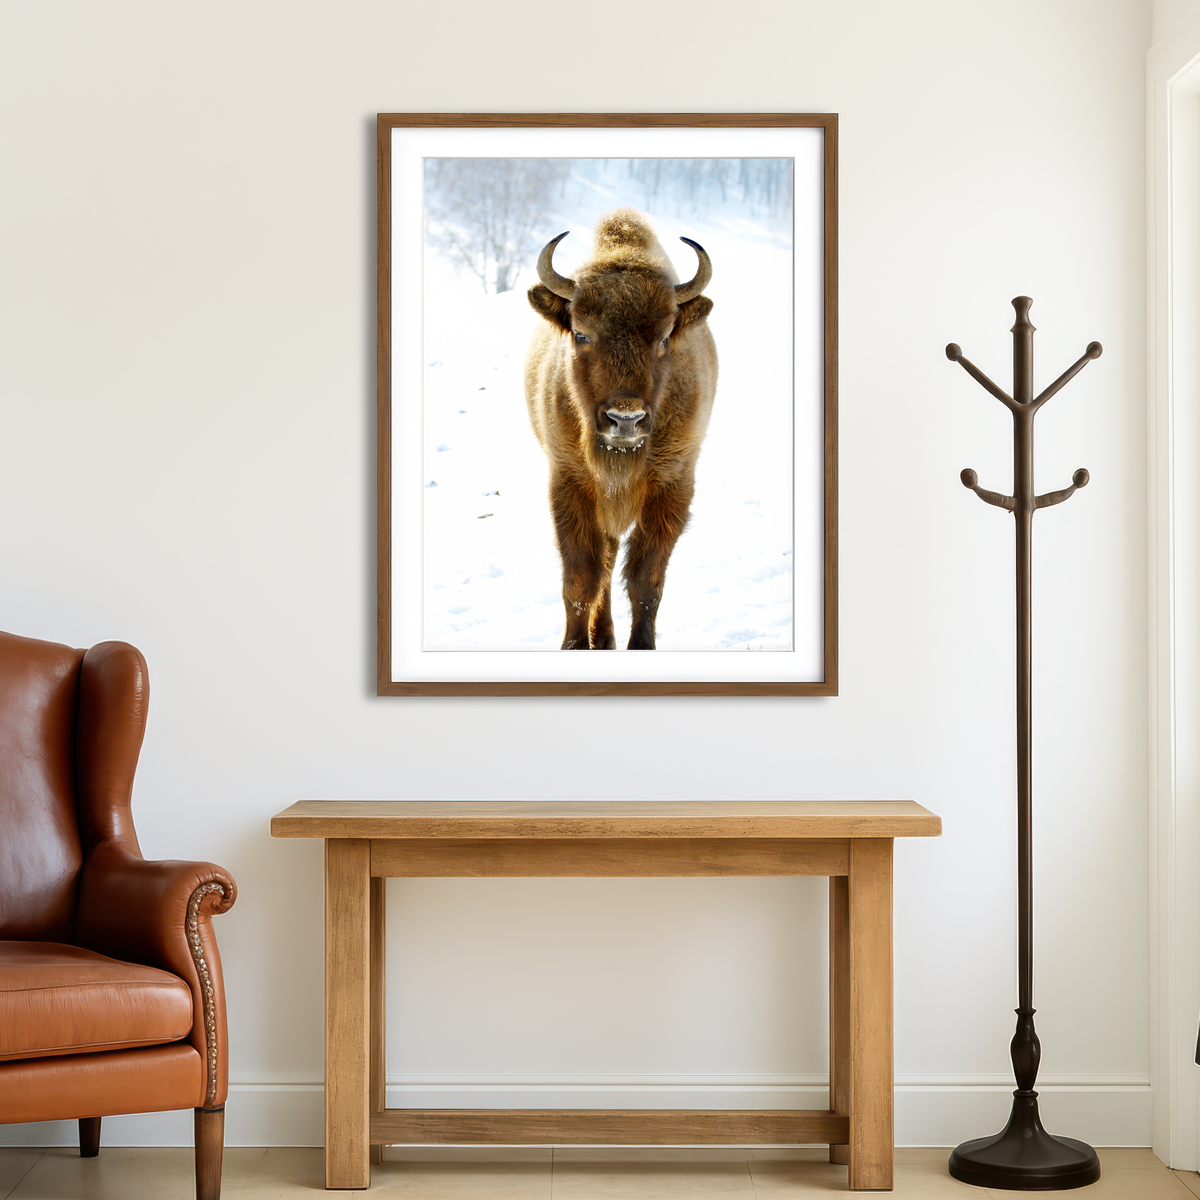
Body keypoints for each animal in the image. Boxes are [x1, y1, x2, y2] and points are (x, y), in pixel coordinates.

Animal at [524, 208, 718, 650]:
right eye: (580, 333)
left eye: (664, 338)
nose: (625, 418)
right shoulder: (571, 483)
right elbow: (581, 579)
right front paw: (575, 646)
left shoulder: (672, 486)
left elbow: (646, 581)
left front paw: (640, 646)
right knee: (605, 566)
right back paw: (604, 636)